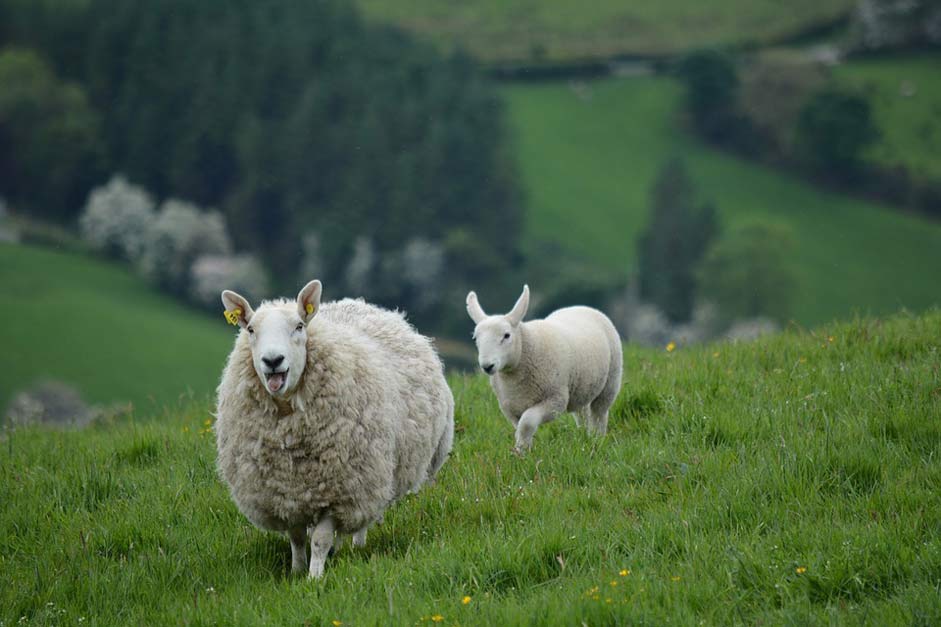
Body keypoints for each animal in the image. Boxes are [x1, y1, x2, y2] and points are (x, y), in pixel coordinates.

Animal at [218, 282, 458, 580]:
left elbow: (320, 539)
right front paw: (296, 572)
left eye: (299, 326)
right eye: (250, 329)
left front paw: (314, 577)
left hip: (370, 475)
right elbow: (297, 538)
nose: (273, 360)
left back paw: (356, 546)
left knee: (363, 516)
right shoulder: (284, 495)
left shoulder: (339, 491)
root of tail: (361, 304)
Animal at [464, 284, 624, 452]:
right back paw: (584, 437)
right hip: (581, 387)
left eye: (506, 335)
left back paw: (597, 439)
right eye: (475, 338)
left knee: (600, 413)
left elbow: (527, 422)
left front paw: (521, 451)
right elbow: (520, 428)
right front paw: (522, 450)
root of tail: (581, 307)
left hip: (611, 380)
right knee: (582, 412)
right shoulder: (510, 408)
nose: (487, 366)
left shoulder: (555, 399)